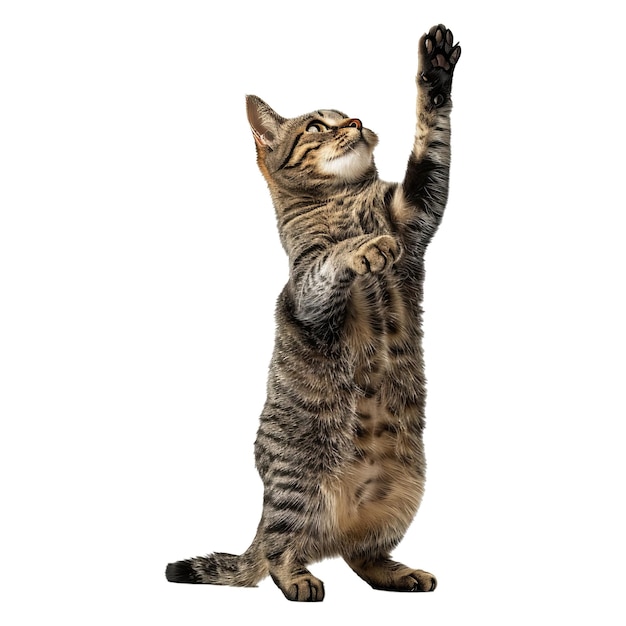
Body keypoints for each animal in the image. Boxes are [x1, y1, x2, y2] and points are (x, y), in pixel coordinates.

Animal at [166, 23, 458, 600]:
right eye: (318, 125)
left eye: (348, 115)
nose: (356, 122)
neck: (345, 198)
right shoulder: (307, 286)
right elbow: (331, 260)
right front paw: (361, 248)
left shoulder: (413, 209)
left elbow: (430, 140)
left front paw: (436, 76)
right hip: (300, 487)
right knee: (279, 552)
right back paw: (297, 578)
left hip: (405, 490)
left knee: (360, 555)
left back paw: (399, 573)